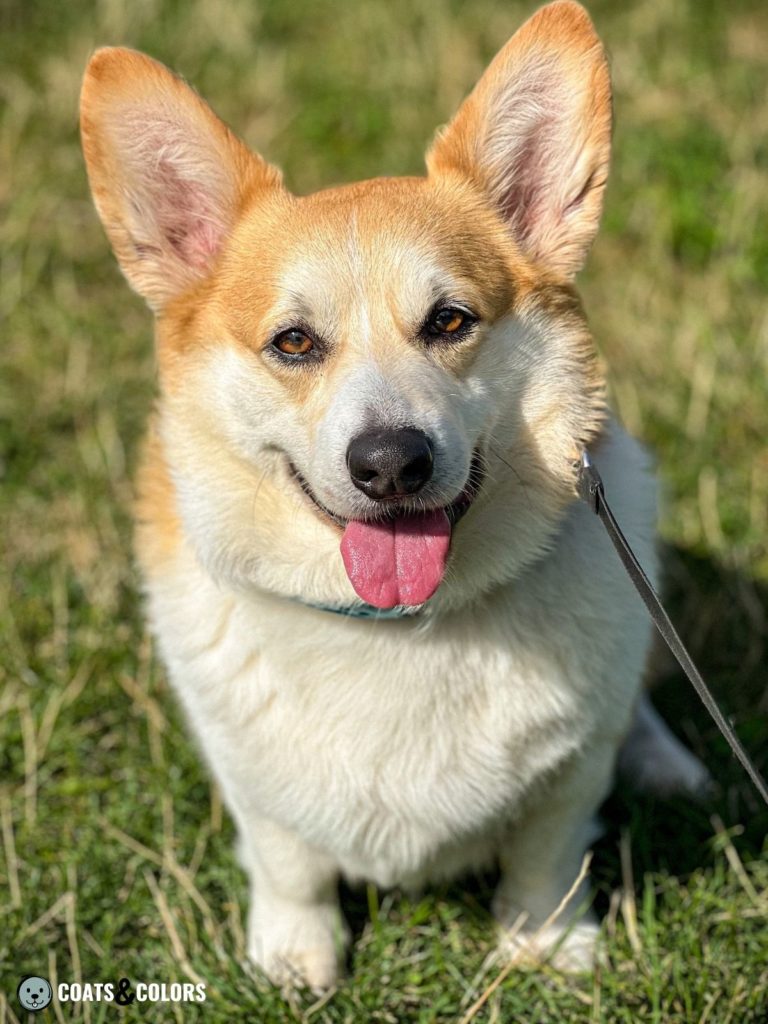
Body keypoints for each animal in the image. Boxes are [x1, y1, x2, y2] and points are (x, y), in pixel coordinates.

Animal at [78, 0, 708, 991]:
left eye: (449, 321)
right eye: (294, 342)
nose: (389, 464)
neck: (400, 629)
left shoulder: (569, 777)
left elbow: (549, 848)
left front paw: (546, 944)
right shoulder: (250, 781)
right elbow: (287, 861)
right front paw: (294, 960)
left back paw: (668, 763)